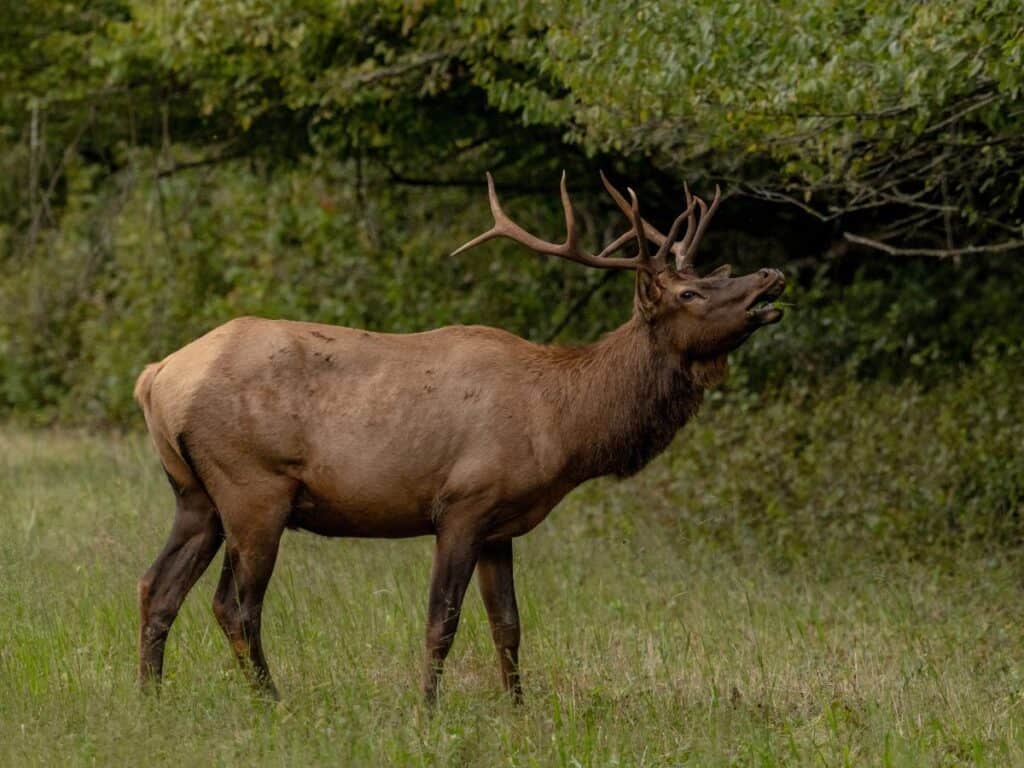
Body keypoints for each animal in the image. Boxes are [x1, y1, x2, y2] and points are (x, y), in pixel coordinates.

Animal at [133, 171, 785, 705]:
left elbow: (508, 625)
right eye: (689, 294)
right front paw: (428, 707)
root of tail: (156, 377)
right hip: (253, 488)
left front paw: (519, 709)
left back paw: (151, 696)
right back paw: (271, 699)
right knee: (235, 604)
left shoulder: (501, 524)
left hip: (195, 495)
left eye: (709, 275)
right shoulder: (463, 504)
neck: (562, 424)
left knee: (156, 586)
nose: (770, 274)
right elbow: (441, 620)